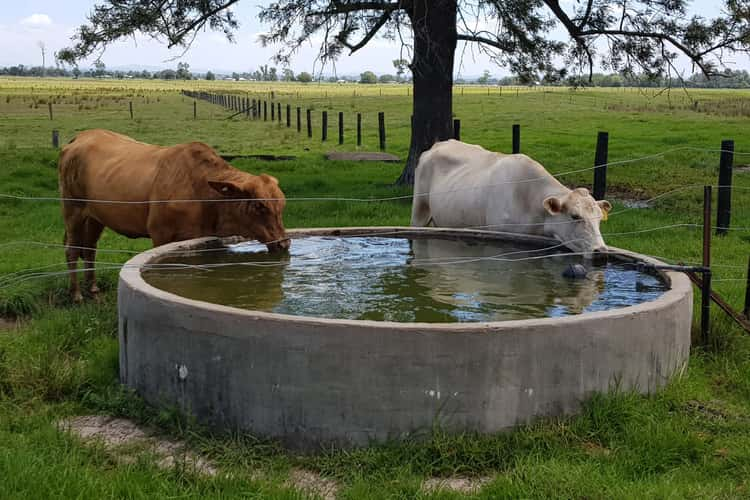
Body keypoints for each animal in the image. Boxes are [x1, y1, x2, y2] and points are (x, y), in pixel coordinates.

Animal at [57, 129, 288, 300]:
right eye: (259, 206)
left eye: (282, 205)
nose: (284, 243)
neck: (202, 194)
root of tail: (79, 138)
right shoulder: (161, 235)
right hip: (72, 209)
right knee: (72, 249)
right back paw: (76, 294)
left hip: (95, 217)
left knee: (88, 249)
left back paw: (93, 290)